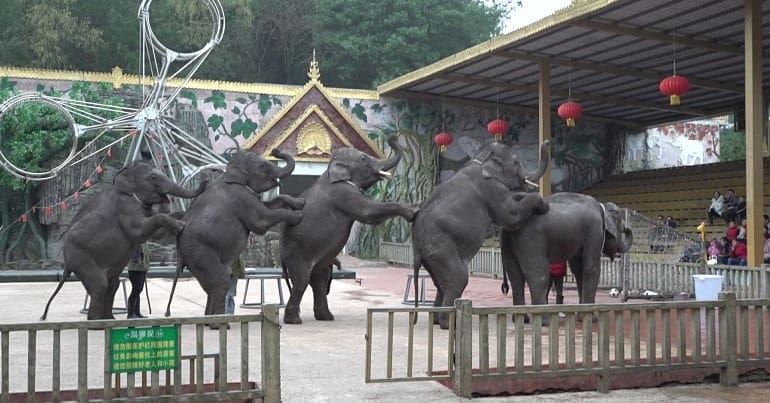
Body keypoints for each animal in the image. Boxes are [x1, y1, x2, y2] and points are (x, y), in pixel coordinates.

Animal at [40, 161, 206, 322]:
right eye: (153, 177)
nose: (205, 179)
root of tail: (66, 263)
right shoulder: (125, 206)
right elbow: (139, 232)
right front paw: (181, 226)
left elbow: (157, 234)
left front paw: (182, 216)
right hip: (80, 258)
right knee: (100, 284)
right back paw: (96, 322)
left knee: (113, 284)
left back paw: (109, 318)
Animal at [165, 149, 304, 318]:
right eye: (263, 166)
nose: (275, 151)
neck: (229, 170)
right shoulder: (241, 197)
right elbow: (261, 221)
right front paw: (297, 216)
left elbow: (270, 204)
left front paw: (300, 203)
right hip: (200, 253)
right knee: (221, 283)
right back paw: (219, 321)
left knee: (211, 288)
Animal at [280, 136, 416, 326]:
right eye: (364, 159)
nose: (392, 137)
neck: (330, 168)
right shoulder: (343, 192)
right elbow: (368, 212)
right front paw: (414, 211)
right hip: (296, 253)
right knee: (302, 281)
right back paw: (294, 321)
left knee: (319, 280)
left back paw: (326, 317)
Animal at [412, 140, 548, 330]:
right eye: (515, 162)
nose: (547, 142)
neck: (481, 158)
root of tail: (416, 243)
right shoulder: (491, 189)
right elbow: (510, 215)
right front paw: (542, 204)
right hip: (440, 248)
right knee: (458, 278)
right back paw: (449, 324)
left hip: (432, 256)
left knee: (440, 284)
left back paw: (437, 321)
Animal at [500, 193, 632, 310]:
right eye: (622, 229)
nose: (627, 228)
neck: (602, 206)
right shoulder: (594, 230)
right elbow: (591, 268)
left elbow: (578, 269)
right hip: (531, 240)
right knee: (539, 276)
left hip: (509, 245)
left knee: (515, 277)